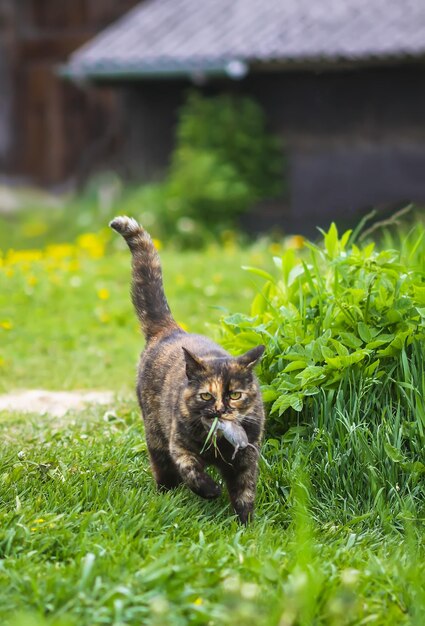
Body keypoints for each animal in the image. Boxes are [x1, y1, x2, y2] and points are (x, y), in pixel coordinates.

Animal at [109, 216, 264, 520]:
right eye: (206, 395)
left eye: (235, 395)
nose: (220, 411)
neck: (219, 444)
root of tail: (170, 329)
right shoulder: (178, 444)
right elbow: (191, 469)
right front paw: (210, 490)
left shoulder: (247, 458)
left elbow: (245, 493)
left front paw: (247, 525)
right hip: (155, 435)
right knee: (164, 469)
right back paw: (165, 496)